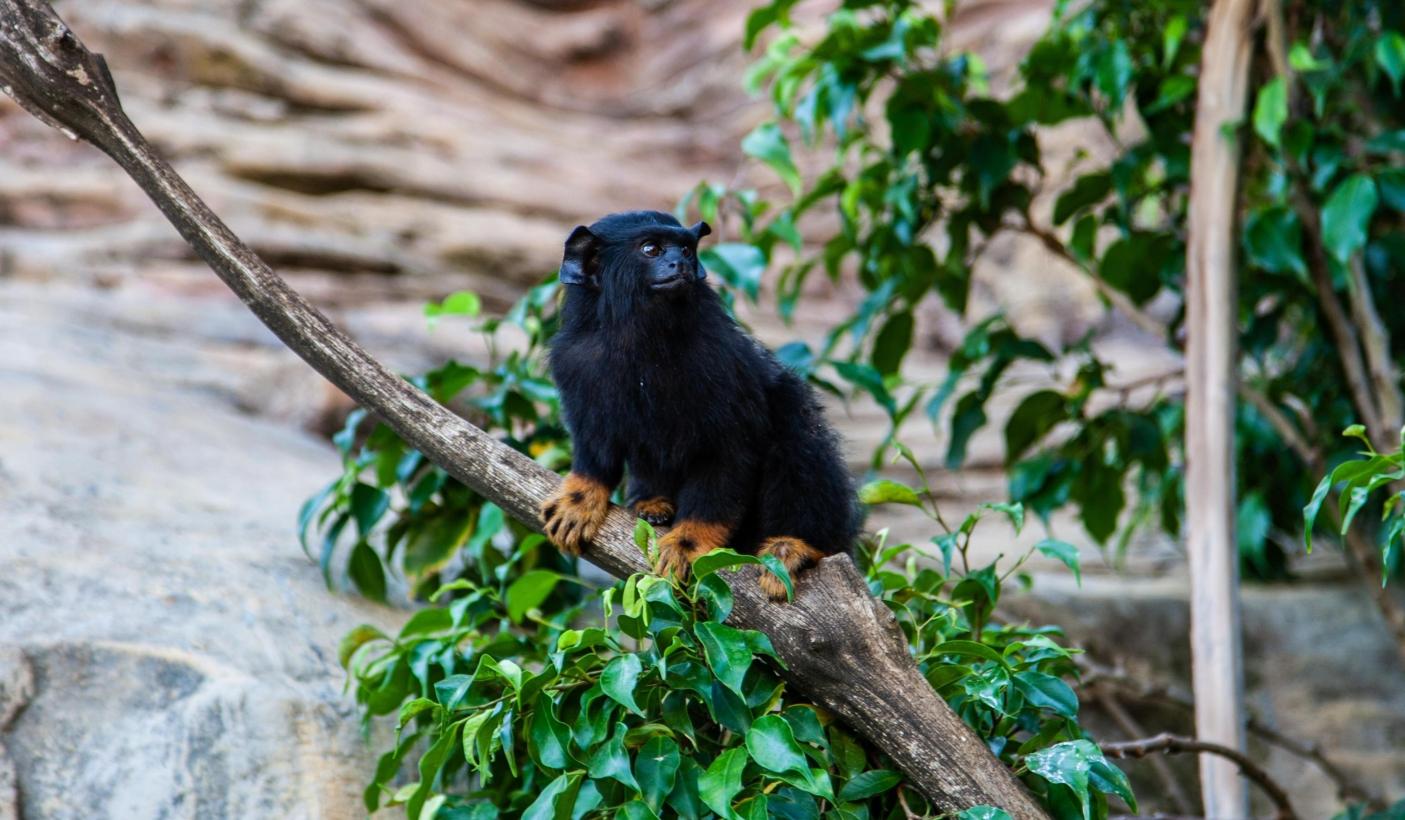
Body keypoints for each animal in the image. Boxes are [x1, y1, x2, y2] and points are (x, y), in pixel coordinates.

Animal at [537, 210, 859, 601]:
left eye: (687, 250)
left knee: (798, 431)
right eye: (651, 249)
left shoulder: (720, 364)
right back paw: (652, 504)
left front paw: (689, 542)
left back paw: (794, 545)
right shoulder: (575, 364)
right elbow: (594, 445)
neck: (640, 342)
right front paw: (580, 498)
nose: (680, 264)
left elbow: (727, 459)